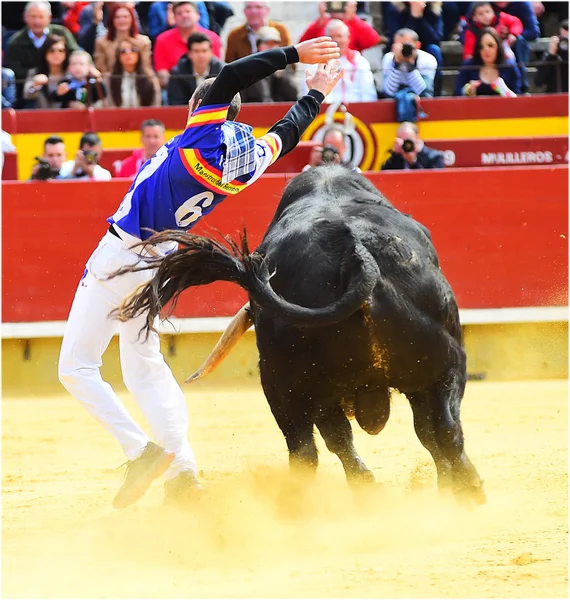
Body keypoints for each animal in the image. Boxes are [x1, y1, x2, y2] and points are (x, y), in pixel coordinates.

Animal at [114, 165, 484, 506]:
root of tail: (357, 256)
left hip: (294, 380)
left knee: (314, 447)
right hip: (436, 364)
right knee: (440, 427)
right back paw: (464, 488)